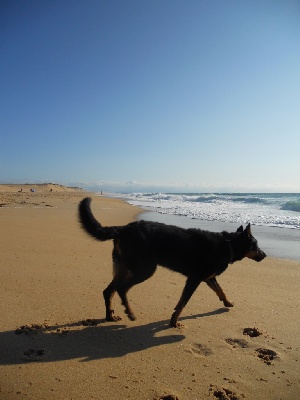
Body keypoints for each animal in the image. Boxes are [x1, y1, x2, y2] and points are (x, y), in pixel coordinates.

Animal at [78, 198, 266, 328]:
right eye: (256, 245)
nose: (264, 255)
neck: (228, 245)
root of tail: (124, 228)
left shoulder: (208, 278)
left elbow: (220, 291)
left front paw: (227, 303)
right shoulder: (194, 279)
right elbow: (183, 303)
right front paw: (174, 322)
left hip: (125, 268)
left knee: (108, 291)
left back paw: (110, 316)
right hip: (144, 269)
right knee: (122, 289)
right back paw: (129, 313)